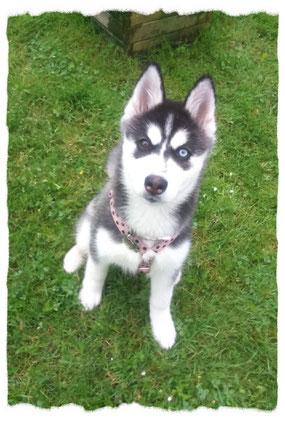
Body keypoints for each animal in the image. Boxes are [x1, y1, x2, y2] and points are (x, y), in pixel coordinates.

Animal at [63, 62, 216, 348]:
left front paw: (163, 327)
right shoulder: (102, 241)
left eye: (183, 153)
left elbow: (161, 300)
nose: (155, 183)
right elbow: (95, 271)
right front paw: (89, 295)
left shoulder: (169, 263)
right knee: (83, 241)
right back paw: (73, 258)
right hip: (92, 217)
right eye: (144, 143)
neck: (149, 222)